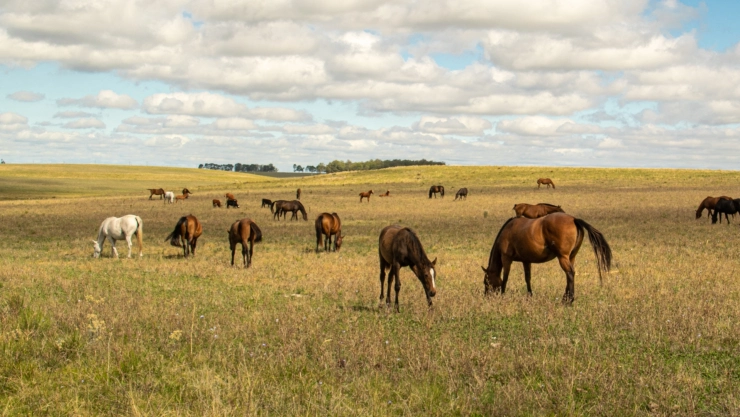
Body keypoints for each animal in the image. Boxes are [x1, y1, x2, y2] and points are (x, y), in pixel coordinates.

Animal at [482, 213, 611, 304]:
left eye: (486, 281)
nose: (487, 297)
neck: (509, 229)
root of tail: (574, 219)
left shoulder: (506, 259)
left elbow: (505, 278)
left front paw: (503, 295)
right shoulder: (526, 261)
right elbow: (527, 278)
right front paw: (530, 296)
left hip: (563, 257)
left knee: (570, 274)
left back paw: (568, 301)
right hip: (571, 257)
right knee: (570, 274)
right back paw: (565, 298)